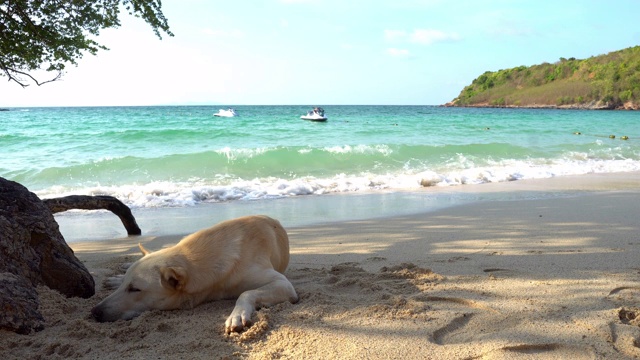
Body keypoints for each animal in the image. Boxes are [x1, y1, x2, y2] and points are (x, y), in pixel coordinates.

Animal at [90, 215, 300, 334]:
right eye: (127, 286)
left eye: (135, 289)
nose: (94, 312)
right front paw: (118, 278)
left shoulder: (283, 284)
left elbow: (246, 292)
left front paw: (237, 315)